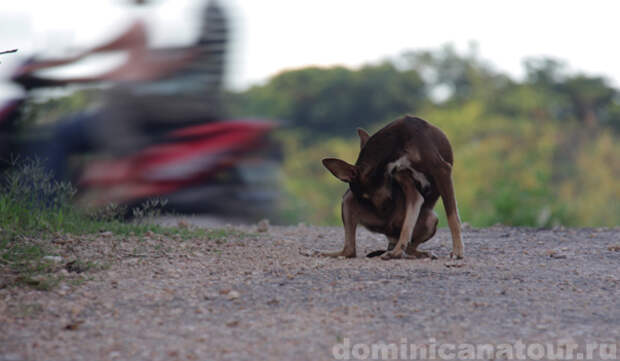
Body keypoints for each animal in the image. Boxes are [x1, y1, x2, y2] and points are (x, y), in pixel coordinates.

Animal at [322, 115, 462, 258]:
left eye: (366, 196)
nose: (384, 213)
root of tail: (390, 237)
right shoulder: (405, 180)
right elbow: (408, 223)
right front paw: (398, 251)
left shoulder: (442, 170)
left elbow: (452, 217)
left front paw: (457, 251)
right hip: (348, 199)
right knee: (350, 250)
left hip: (431, 219)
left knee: (409, 246)